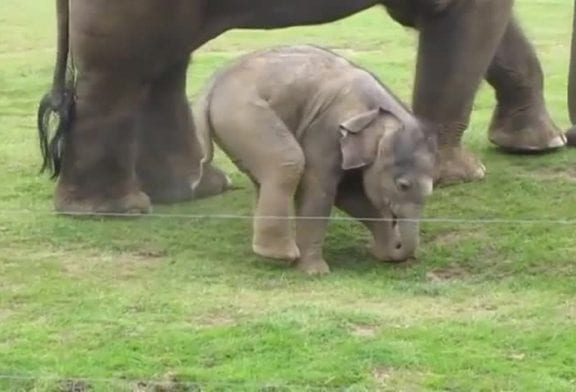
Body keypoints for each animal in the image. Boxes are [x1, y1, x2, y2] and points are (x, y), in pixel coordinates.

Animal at [39, 0, 568, 214]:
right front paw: (459, 176)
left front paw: (541, 146)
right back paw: (115, 210)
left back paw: (192, 191)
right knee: (127, 69)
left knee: (161, 61)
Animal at [196, 44, 434, 274]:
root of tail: (214, 81)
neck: (380, 111)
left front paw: (384, 253)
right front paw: (316, 271)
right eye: (403, 185)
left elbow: (349, 194)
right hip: (242, 114)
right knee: (288, 162)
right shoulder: (325, 129)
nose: (400, 247)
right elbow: (320, 188)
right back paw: (281, 255)